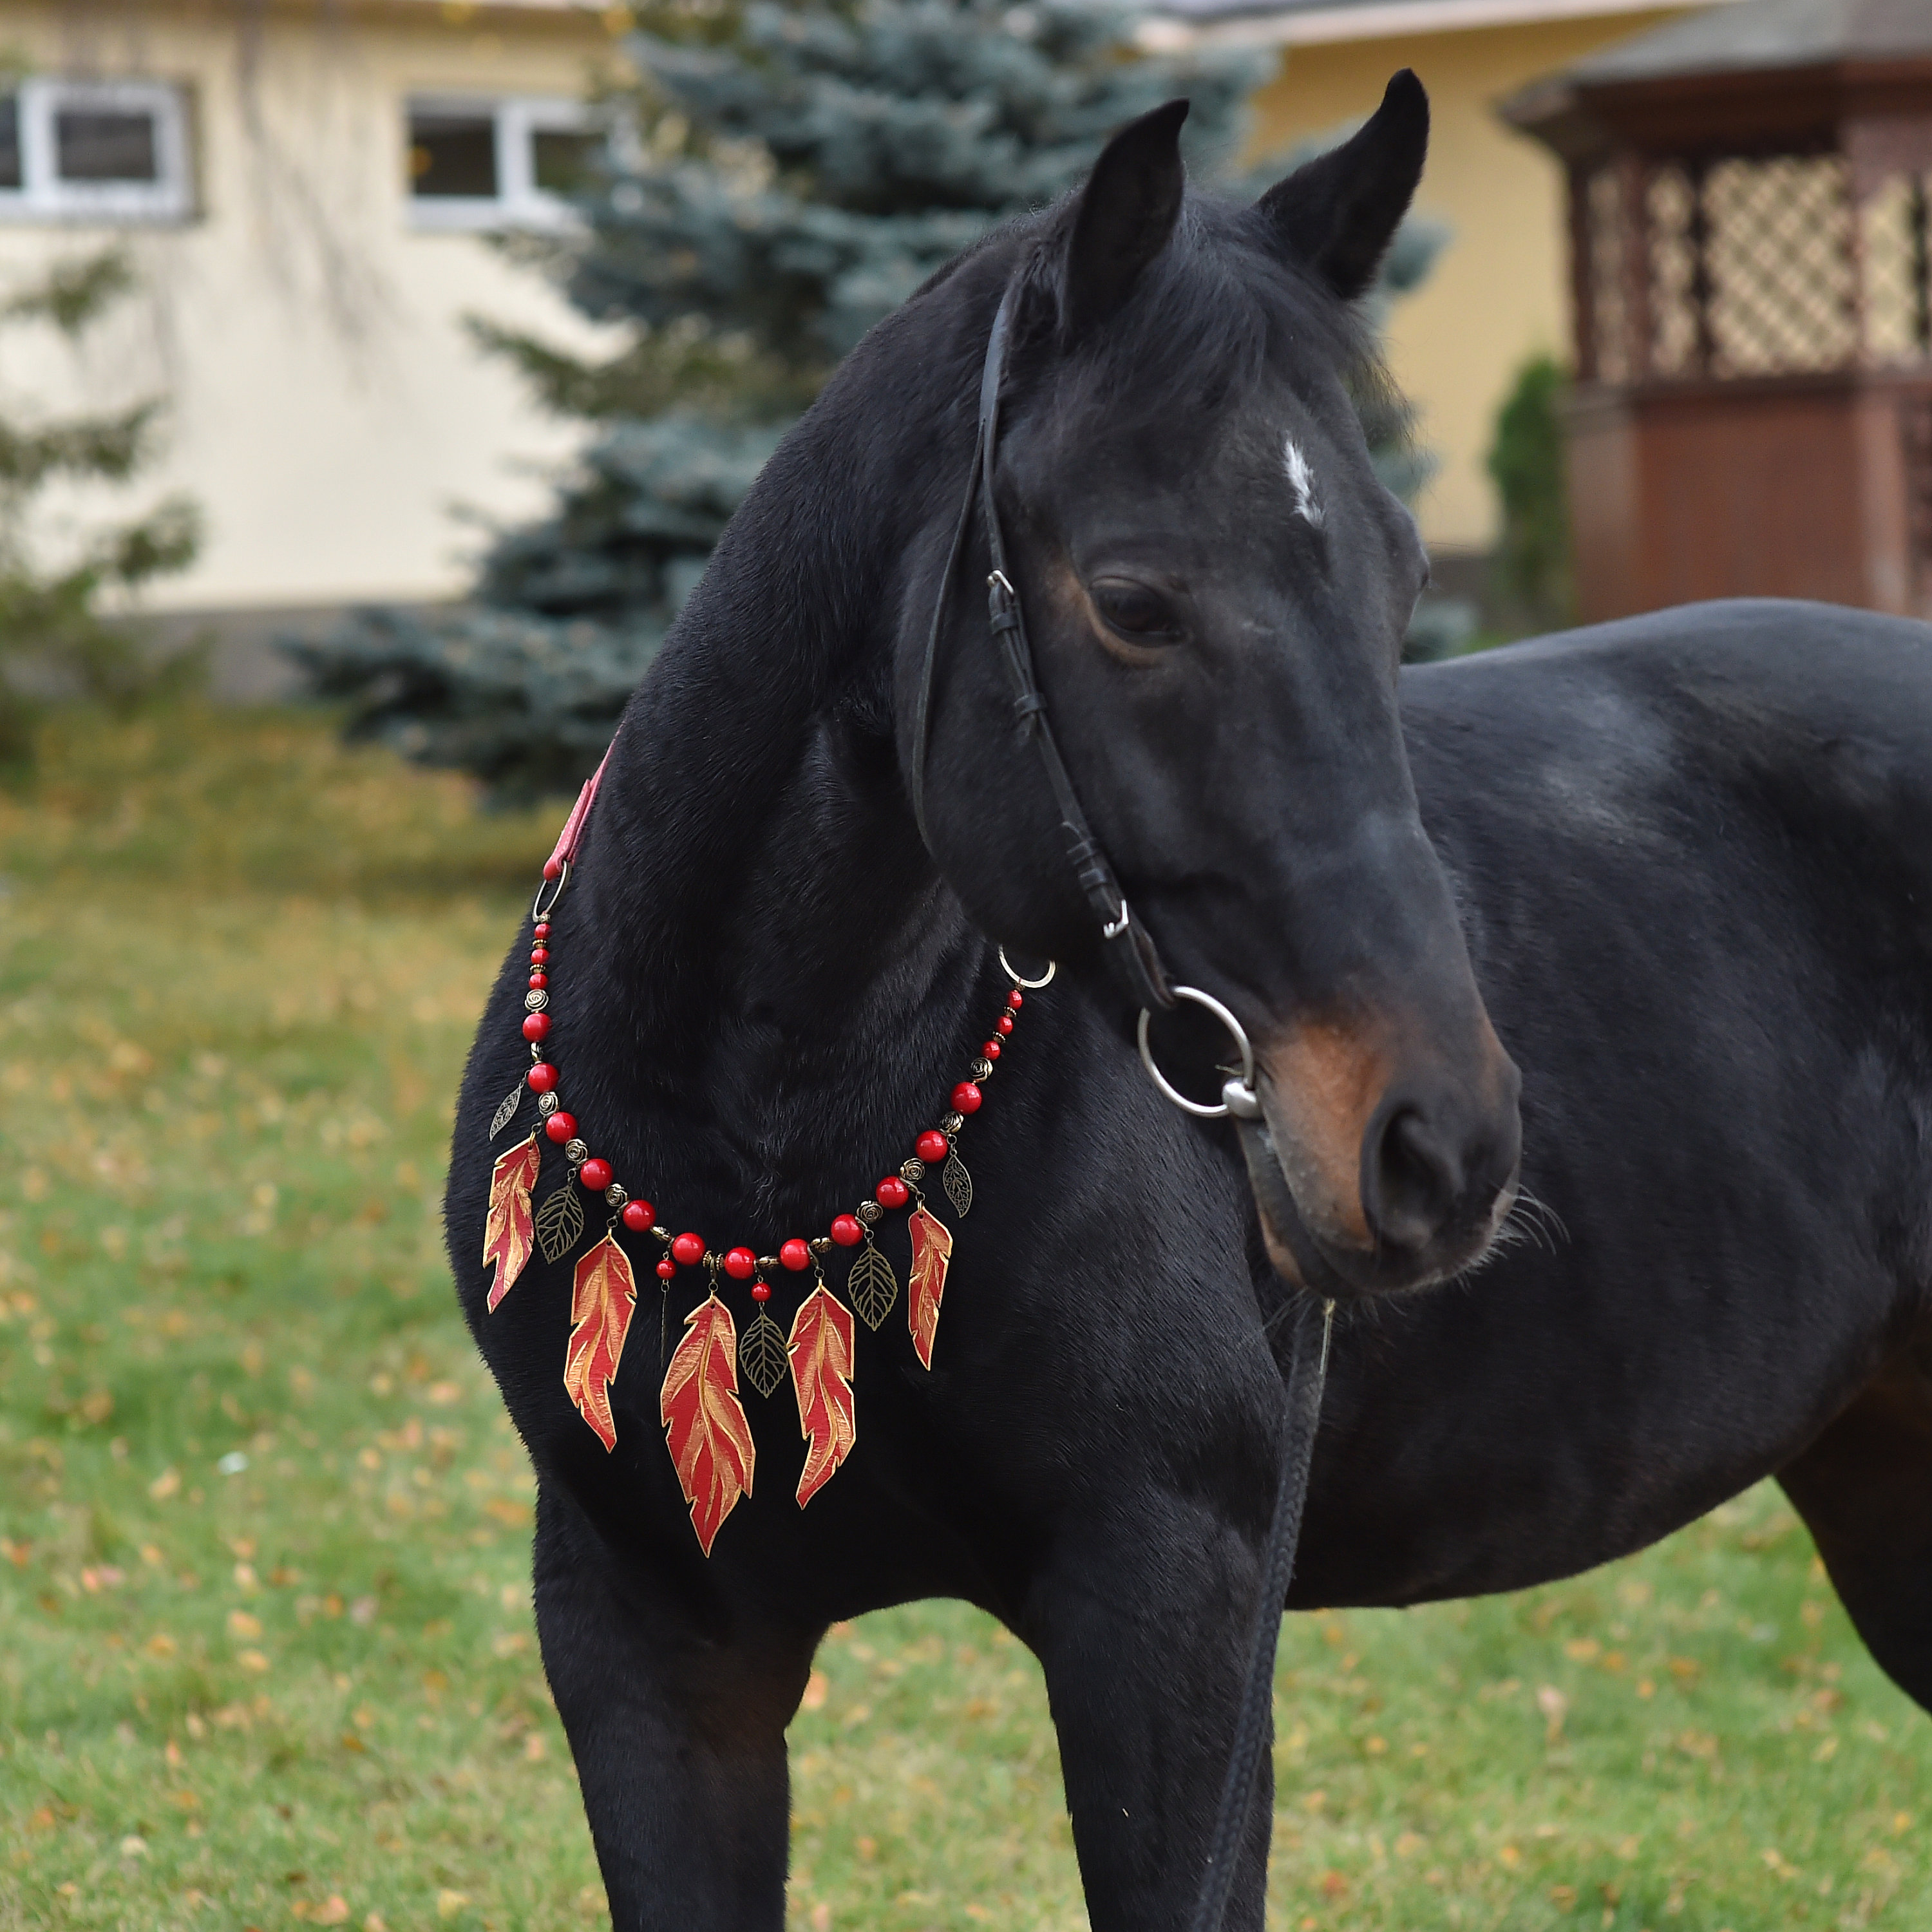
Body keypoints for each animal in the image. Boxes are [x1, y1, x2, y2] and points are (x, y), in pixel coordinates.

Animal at [446, 75, 1932, 1931]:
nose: (1439, 1145)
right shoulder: (650, 1655)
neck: (758, 1130)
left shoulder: (1177, 1638)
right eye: (1135, 603)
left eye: (1403, 580)